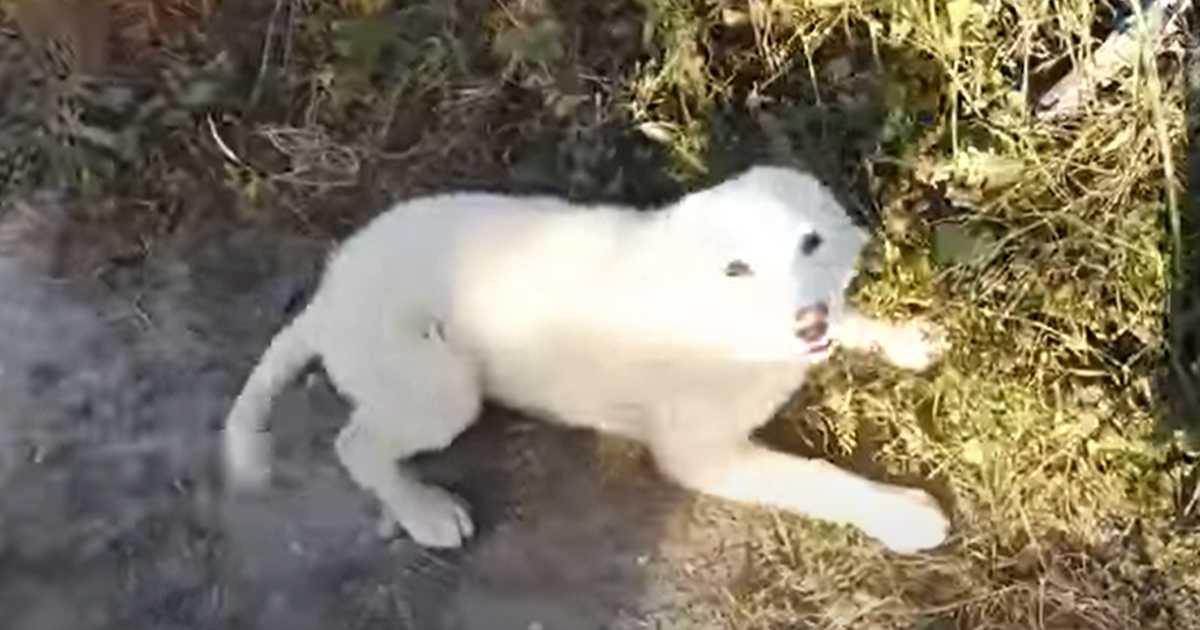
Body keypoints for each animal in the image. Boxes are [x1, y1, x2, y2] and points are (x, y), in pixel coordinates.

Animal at [225, 165, 950, 549]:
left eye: (812, 243)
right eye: (737, 269)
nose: (807, 322)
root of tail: (329, 292)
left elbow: (853, 320)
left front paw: (903, 338)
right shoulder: (701, 454)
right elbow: (818, 478)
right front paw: (903, 514)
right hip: (442, 384)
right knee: (356, 444)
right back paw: (424, 511)